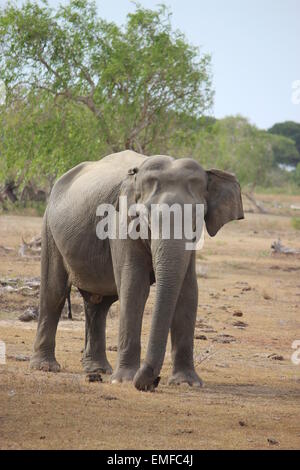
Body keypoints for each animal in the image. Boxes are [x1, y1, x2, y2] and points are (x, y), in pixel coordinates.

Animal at [30, 151, 244, 390]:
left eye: (196, 219)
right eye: (146, 217)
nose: (154, 382)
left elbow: (188, 291)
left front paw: (187, 383)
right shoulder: (119, 221)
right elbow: (134, 285)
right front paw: (124, 379)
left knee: (98, 305)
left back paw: (98, 370)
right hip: (49, 229)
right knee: (54, 292)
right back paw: (46, 367)